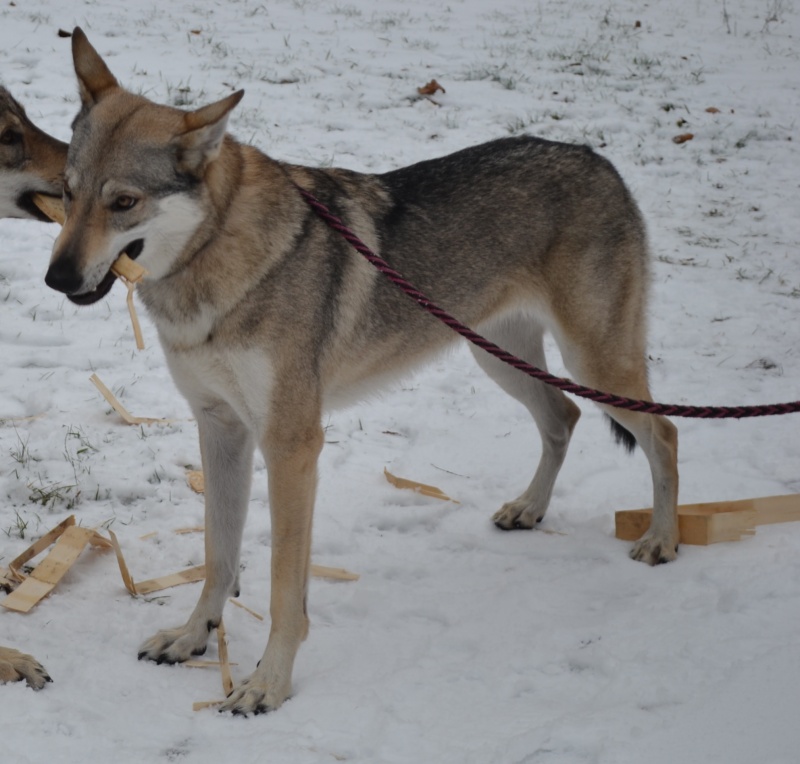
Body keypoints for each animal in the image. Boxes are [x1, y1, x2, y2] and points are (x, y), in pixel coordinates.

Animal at [43, 25, 680, 716]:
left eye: (123, 202)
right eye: (68, 192)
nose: (56, 278)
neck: (212, 256)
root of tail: (597, 158)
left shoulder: (292, 444)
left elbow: (281, 589)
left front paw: (268, 684)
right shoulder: (219, 428)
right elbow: (219, 556)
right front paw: (192, 637)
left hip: (594, 364)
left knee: (664, 433)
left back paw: (662, 540)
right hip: (497, 356)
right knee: (562, 416)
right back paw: (530, 510)